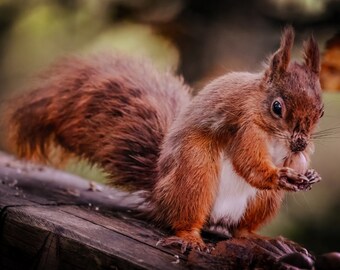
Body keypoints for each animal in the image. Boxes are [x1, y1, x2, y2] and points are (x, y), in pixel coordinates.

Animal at [6, 26, 322, 251]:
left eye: (320, 111)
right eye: (277, 107)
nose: (300, 143)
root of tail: (160, 192)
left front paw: (309, 174)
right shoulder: (243, 126)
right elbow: (248, 163)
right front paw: (281, 175)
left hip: (262, 202)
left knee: (240, 230)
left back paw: (261, 240)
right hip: (194, 173)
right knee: (186, 217)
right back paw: (189, 237)